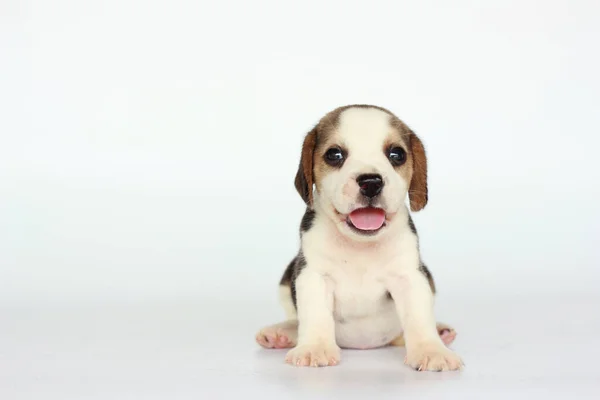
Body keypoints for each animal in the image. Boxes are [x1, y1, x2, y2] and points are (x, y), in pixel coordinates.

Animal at [255, 104, 462, 372]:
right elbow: (315, 314)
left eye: (397, 154)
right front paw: (315, 347)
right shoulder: (313, 275)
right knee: (296, 318)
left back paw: (441, 332)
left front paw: (431, 349)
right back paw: (281, 333)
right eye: (334, 155)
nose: (371, 182)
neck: (360, 247)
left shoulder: (410, 276)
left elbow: (418, 316)